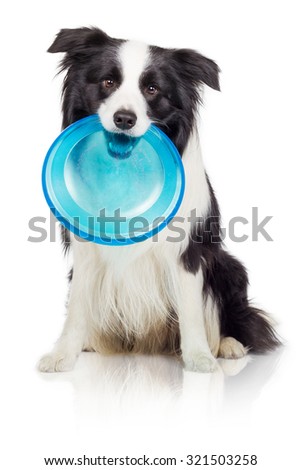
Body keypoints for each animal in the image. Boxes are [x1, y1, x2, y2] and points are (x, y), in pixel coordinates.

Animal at [38, 27, 278, 374]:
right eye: (108, 81)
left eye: (152, 89)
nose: (124, 119)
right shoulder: (85, 251)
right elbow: (78, 306)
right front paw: (62, 354)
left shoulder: (187, 252)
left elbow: (191, 309)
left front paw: (199, 357)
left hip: (229, 267)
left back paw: (228, 345)